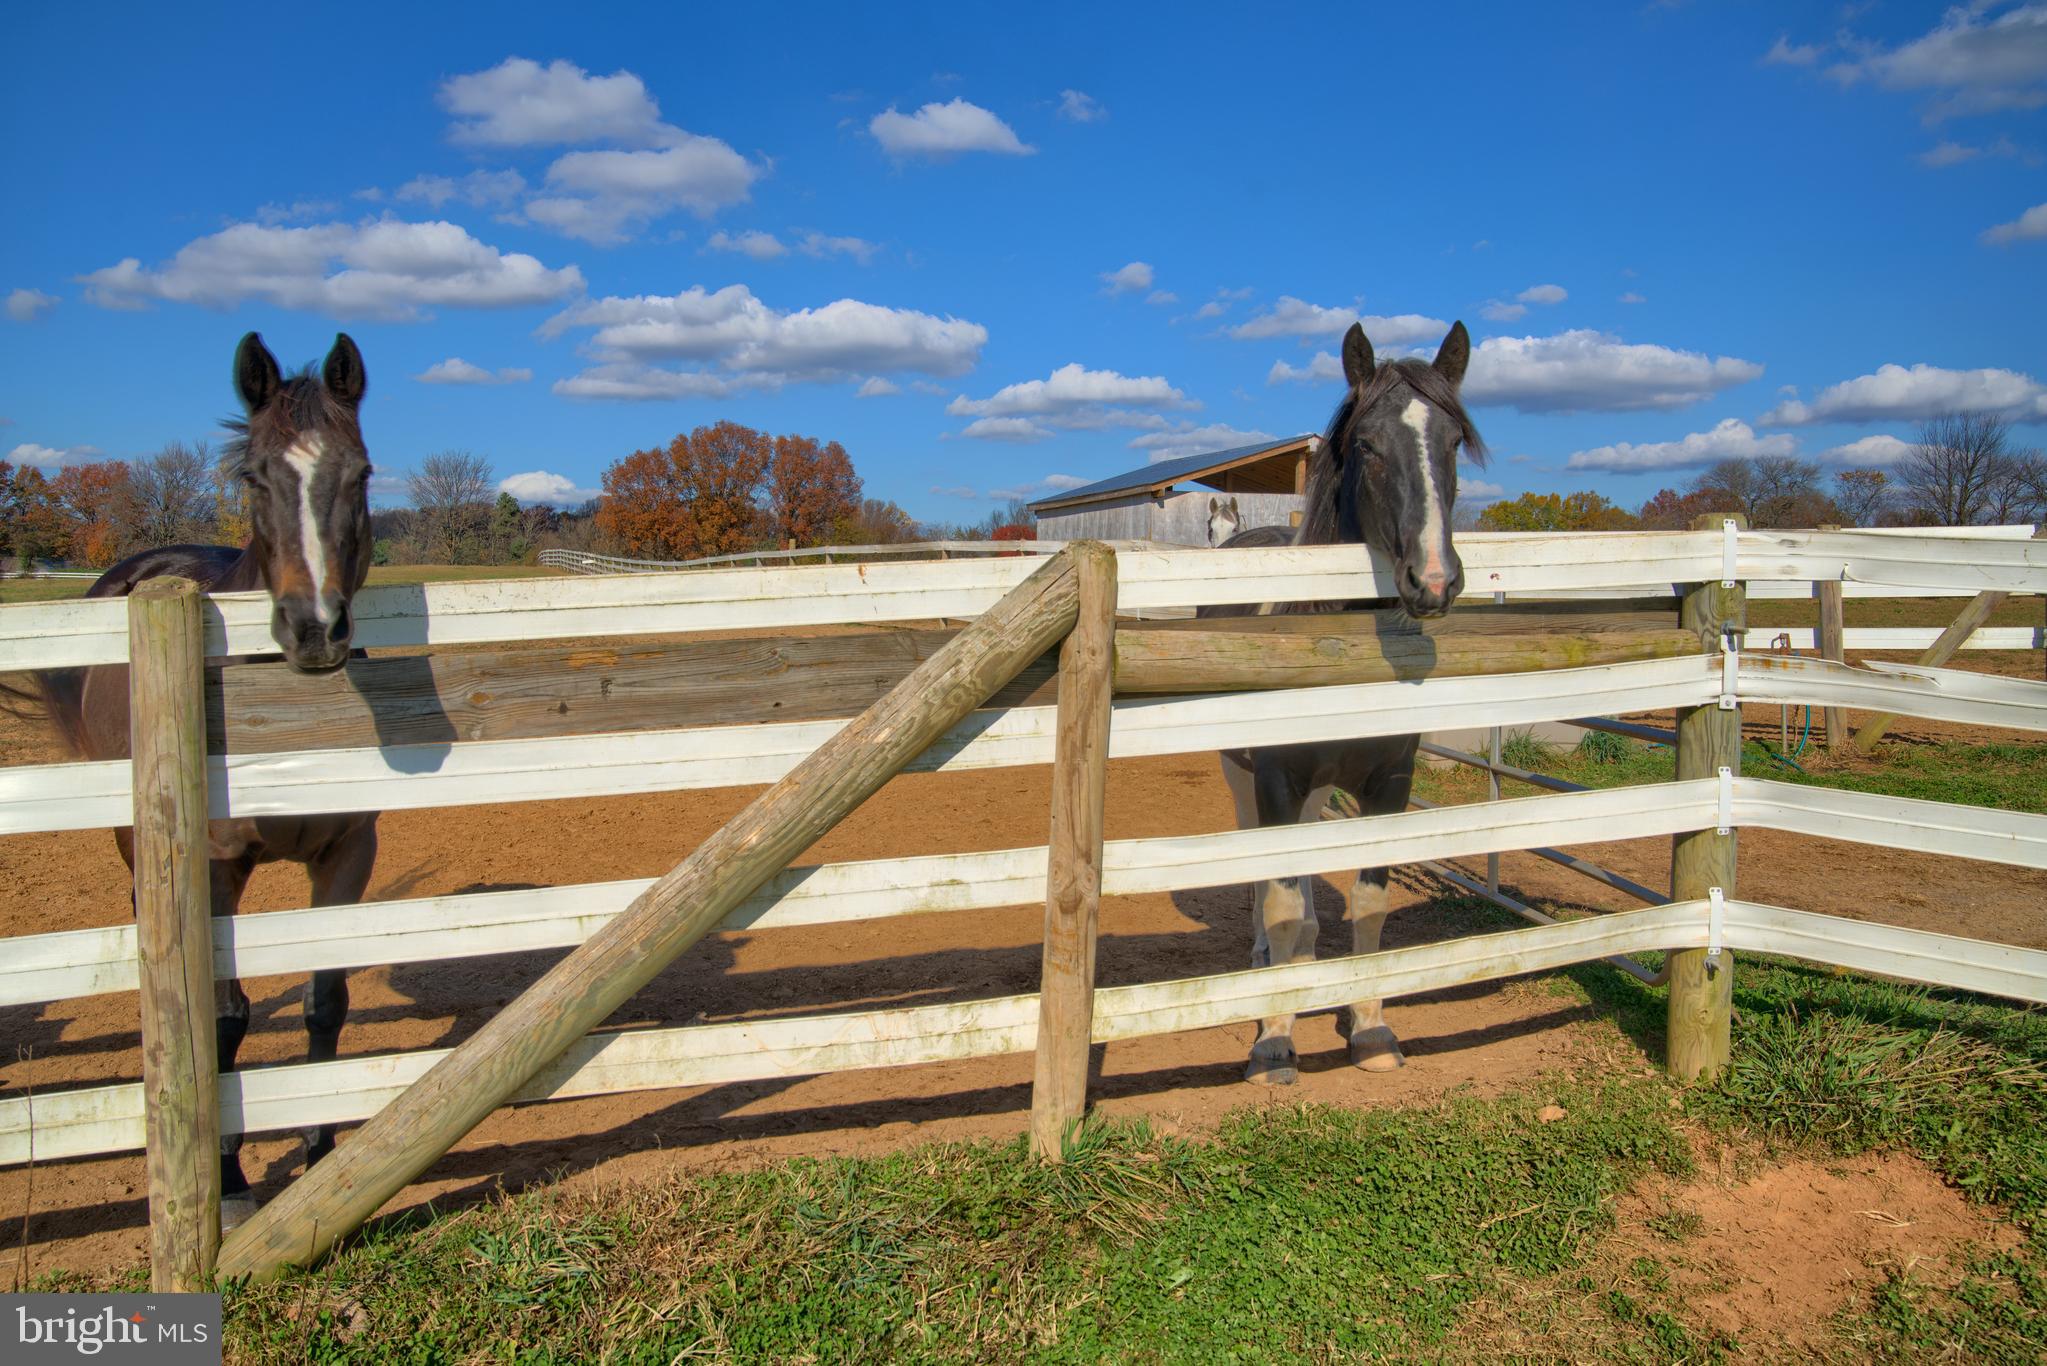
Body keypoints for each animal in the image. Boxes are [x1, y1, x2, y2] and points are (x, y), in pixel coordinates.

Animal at [30, 333, 379, 1222]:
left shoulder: (348, 855)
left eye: (360, 474)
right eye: (253, 477)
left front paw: (318, 1151)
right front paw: (230, 1188)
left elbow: (325, 1003)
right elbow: (221, 1021)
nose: (314, 629)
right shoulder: (219, 869)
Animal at [1203, 319, 1485, 1085]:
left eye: (1454, 442)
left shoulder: (1388, 783)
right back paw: (1267, 964)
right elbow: (1278, 902)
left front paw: (1370, 1028)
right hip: (1243, 776)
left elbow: (1368, 903)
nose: (1433, 580)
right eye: (1366, 444)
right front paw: (1273, 1041)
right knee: (1266, 873)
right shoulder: (1274, 779)